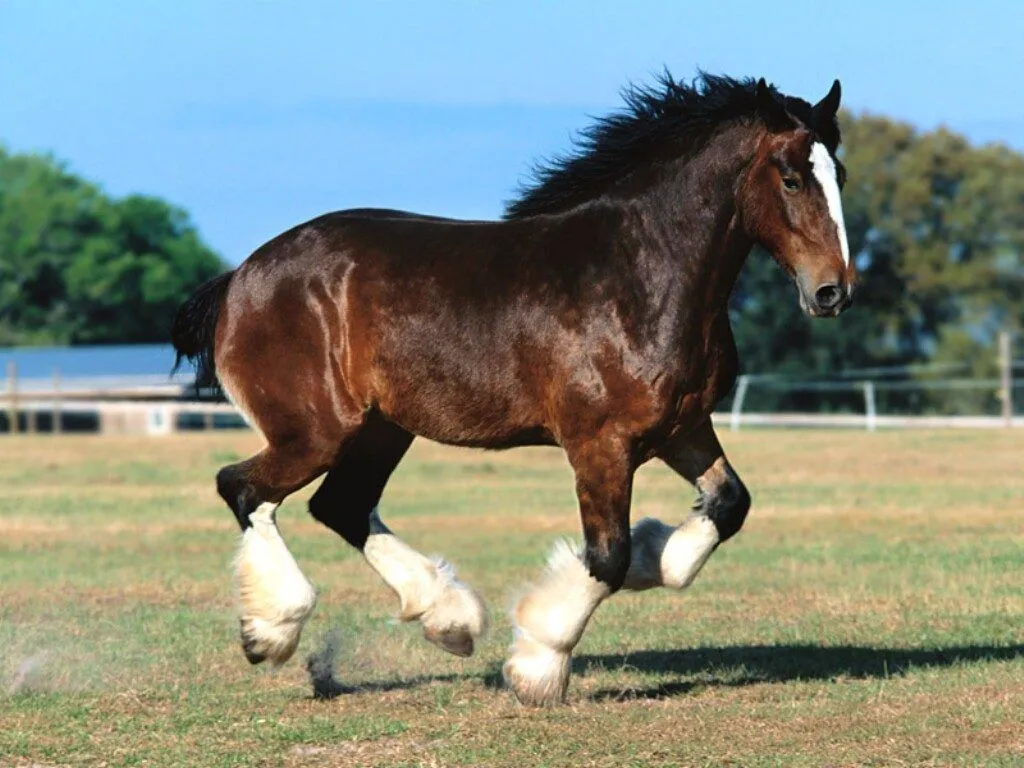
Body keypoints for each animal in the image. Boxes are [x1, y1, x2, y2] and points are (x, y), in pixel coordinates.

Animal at [174, 73, 856, 708]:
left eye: (840, 173)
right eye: (792, 179)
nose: (832, 291)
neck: (640, 276)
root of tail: (240, 278)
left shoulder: (682, 429)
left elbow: (726, 505)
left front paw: (653, 556)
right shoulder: (600, 445)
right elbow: (605, 556)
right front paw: (539, 664)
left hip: (381, 430)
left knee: (338, 505)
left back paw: (448, 618)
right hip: (317, 431)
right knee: (244, 488)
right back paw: (271, 631)